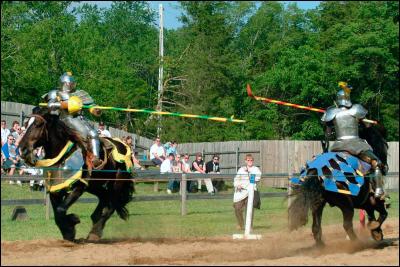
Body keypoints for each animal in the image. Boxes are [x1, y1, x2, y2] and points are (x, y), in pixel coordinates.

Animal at [19, 110, 134, 243]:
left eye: (37, 124)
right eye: (26, 124)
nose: (22, 149)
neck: (63, 155)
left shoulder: (78, 188)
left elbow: (60, 210)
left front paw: (72, 222)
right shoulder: (55, 191)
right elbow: (58, 214)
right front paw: (69, 231)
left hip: (117, 184)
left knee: (111, 206)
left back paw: (94, 233)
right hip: (95, 187)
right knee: (104, 200)